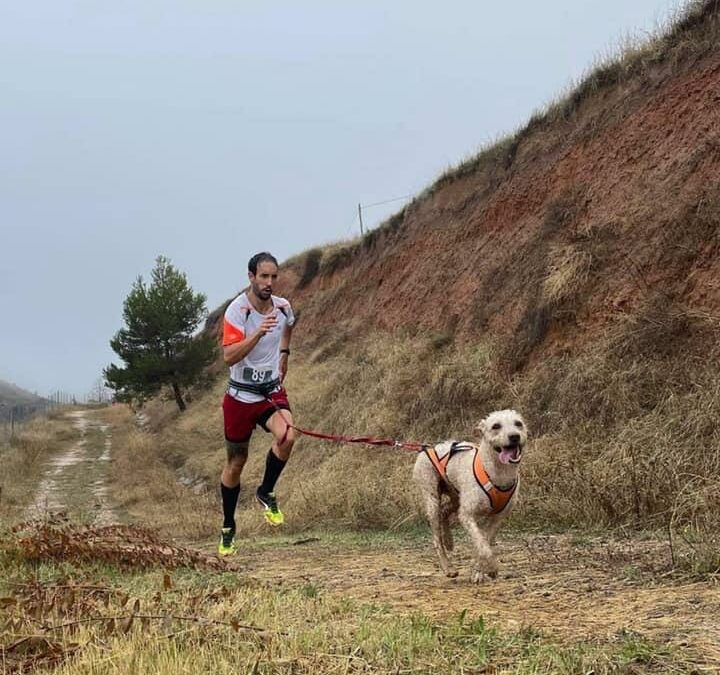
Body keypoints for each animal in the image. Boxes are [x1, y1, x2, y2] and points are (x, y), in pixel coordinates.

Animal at [414, 410, 524, 584]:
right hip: (432, 499)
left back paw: (449, 540)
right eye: (496, 426)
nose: (514, 436)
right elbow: (482, 545)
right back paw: (448, 567)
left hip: (456, 497)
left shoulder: (498, 517)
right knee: (436, 537)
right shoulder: (467, 515)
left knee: (445, 511)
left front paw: (479, 571)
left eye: (518, 423)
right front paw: (492, 567)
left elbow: (484, 541)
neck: (497, 473)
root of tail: (428, 447)